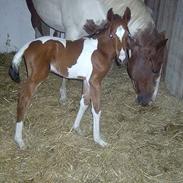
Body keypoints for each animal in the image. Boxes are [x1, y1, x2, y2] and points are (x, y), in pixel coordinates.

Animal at [8, 7, 132, 149]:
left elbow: (84, 102)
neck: (99, 50)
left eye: (128, 34)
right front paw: (99, 140)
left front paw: (77, 128)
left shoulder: (87, 81)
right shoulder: (95, 82)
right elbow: (96, 109)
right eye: (111, 35)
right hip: (37, 77)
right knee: (23, 99)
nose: (122, 59)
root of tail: (28, 45)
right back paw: (19, 140)